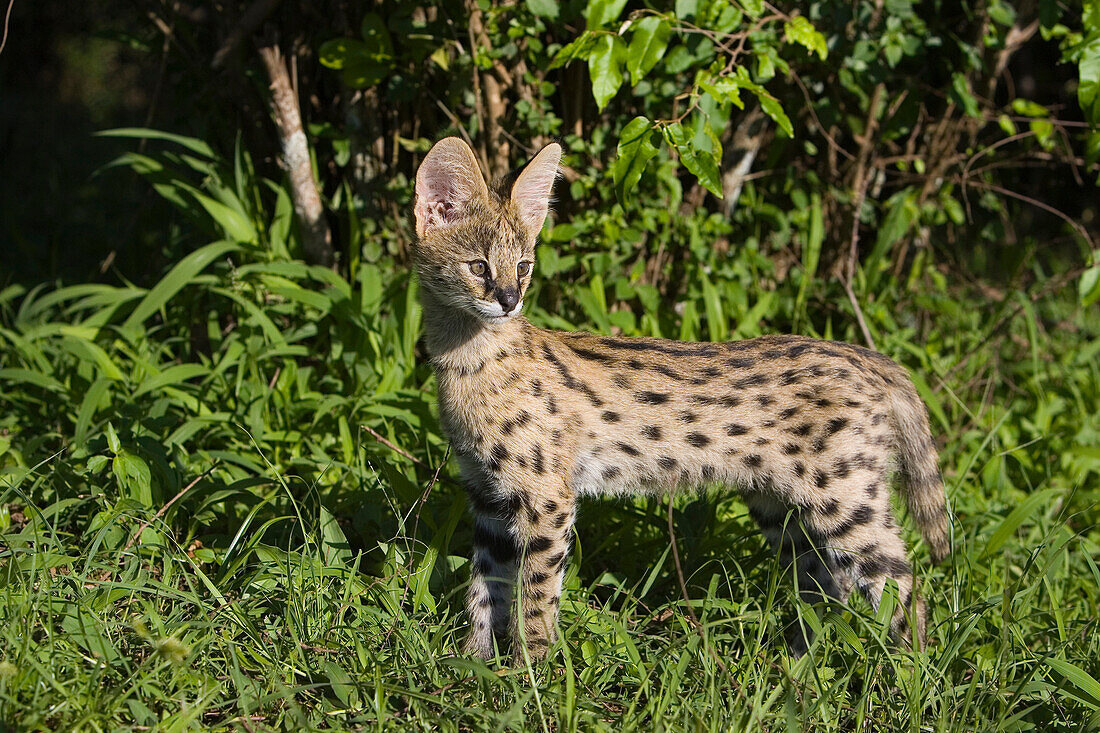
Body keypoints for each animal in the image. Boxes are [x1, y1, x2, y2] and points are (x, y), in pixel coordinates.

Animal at [409, 134, 950, 660]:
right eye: (478, 266)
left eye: (523, 266)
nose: (510, 299)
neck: (467, 362)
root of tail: (864, 355)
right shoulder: (487, 497)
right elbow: (485, 589)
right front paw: (473, 666)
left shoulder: (546, 498)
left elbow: (535, 597)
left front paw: (530, 674)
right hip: (779, 505)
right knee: (825, 585)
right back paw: (794, 665)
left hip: (847, 497)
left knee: (904, 587)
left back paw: (914, 676)